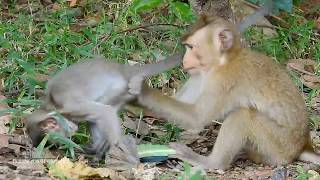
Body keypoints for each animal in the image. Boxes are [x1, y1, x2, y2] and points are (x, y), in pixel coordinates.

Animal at [25, 53, 182, 159]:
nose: (73, 131)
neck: (51, 106)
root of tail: (124, 70)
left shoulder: (71, 106)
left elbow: (104, 112)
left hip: (118, 88)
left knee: (105, 108)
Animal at [129, 15, 320, 170]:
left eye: (191, 47)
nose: (184, 60)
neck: (224, 60)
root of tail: (302, 146)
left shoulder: (223, 80)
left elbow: (197, 117)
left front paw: (142, 90)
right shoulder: (199, 75)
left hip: (279, 144)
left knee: (243, 116)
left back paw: (211, 163)